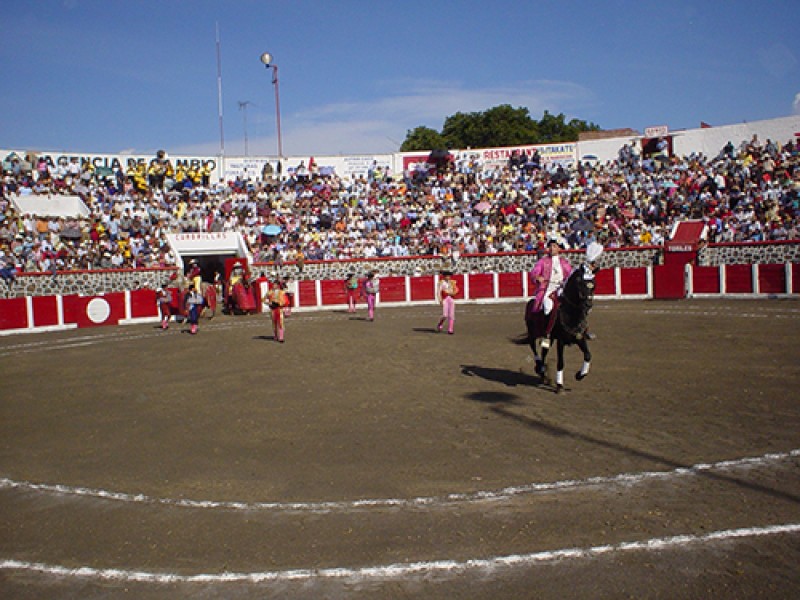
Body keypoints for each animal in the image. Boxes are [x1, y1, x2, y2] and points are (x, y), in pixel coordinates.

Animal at [524, 264, 592, 392]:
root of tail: (531, 302)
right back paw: (539, 367)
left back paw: (543, 373)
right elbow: (560, 362)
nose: (588, 305)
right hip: (533, 332)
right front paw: (559, 385)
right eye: (580, 283)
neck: (572, 314)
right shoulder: (561, 341)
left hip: (549, 338)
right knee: (532, 345)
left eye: (593, 284)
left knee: (544, 351)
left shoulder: (580, 338)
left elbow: (588, 355)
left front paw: (580, 375)